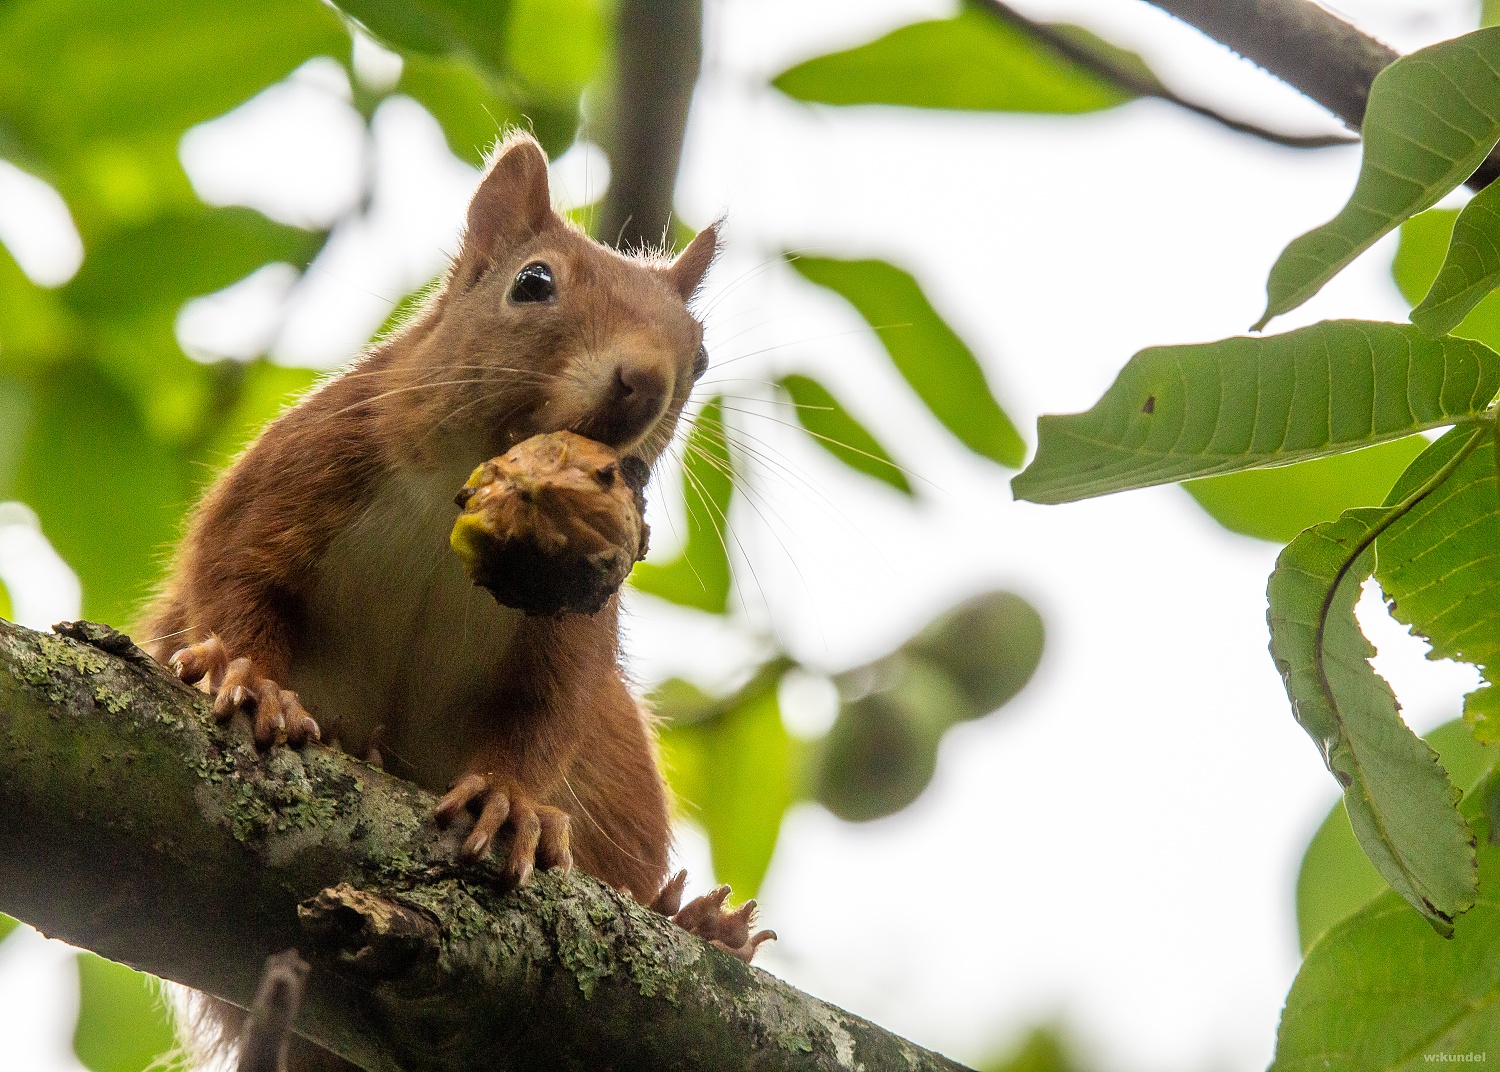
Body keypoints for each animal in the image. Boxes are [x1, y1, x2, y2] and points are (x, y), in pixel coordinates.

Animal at [138, 134, 774, 971]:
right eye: (533, 283)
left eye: (700, 357)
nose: (645, 379)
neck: (464, 478)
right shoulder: (306, 460)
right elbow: (235, 567)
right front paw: (254, 679)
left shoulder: (579, 606)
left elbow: (549, 704)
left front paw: (510, 799)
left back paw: (702, 923)